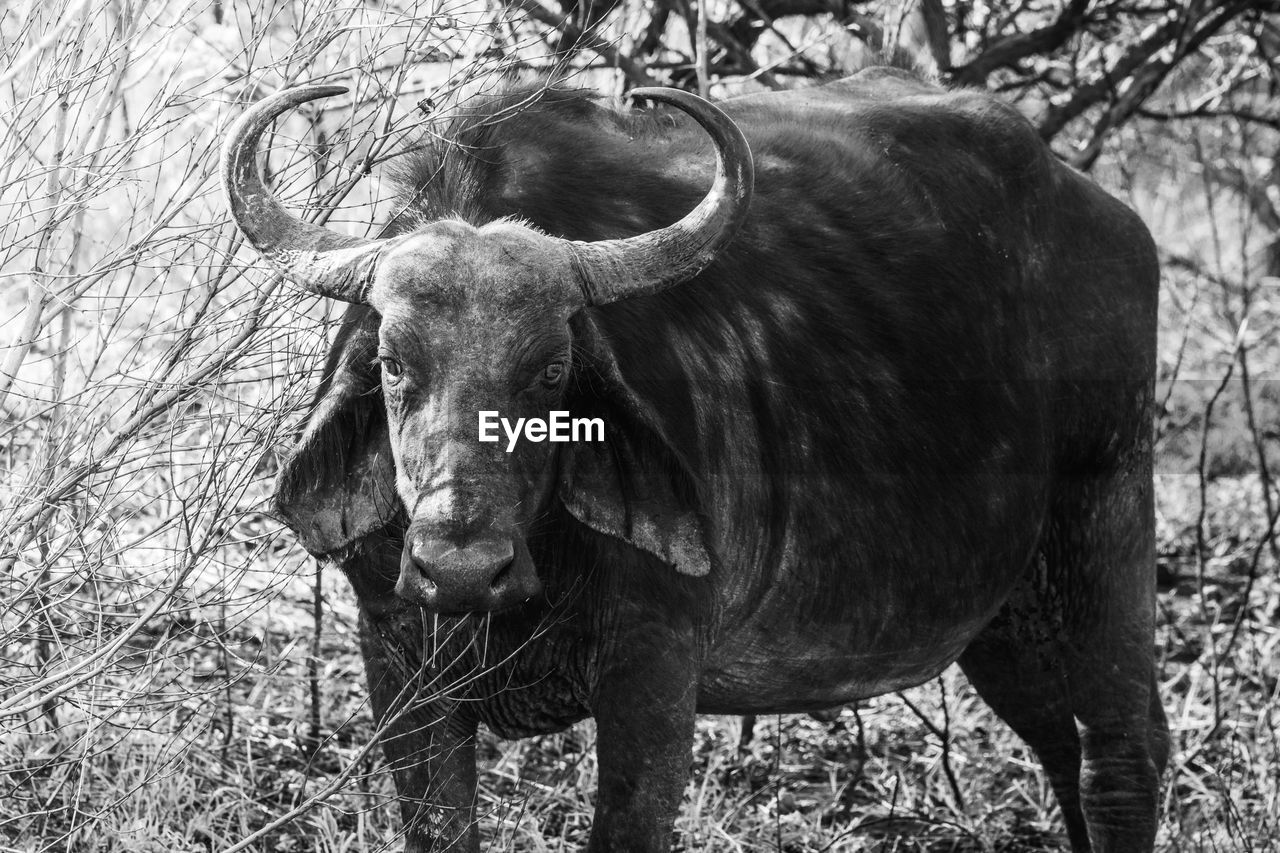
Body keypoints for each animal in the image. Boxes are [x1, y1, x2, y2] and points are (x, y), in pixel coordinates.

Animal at [222, 68, 1172, 850]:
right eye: (392, 362)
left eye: (552, 369)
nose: (458, 565)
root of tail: (1110, 219)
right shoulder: (397, 655)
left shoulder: (654, 668)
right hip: (1005, 615)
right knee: (1057, 745)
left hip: (1108, 514)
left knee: (1120, 753)